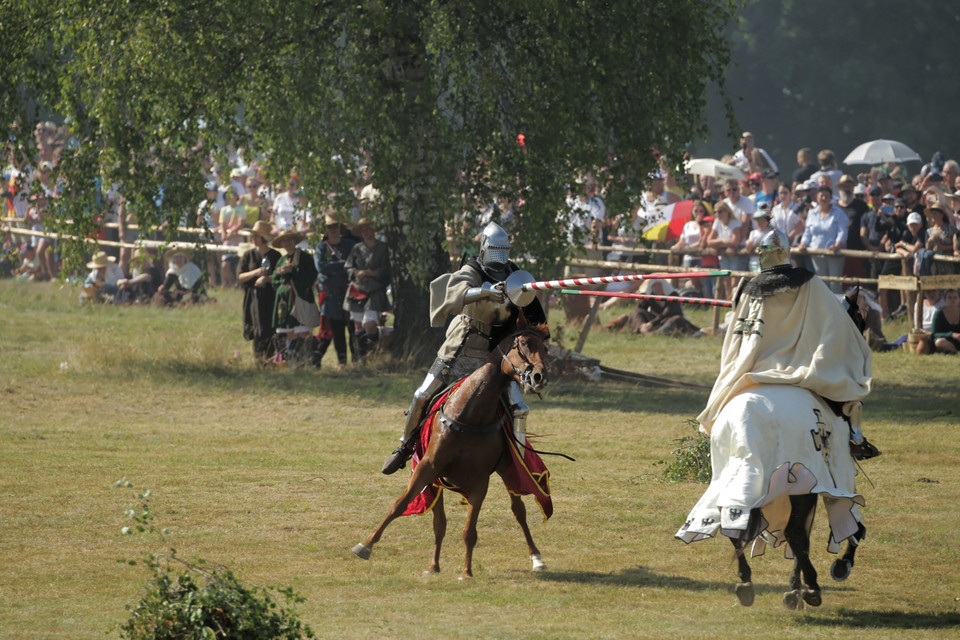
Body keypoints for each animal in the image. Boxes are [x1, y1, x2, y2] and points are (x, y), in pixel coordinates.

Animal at [350, 322, 548, 576]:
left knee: (519, 510)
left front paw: (466, 572)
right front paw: (366, 545)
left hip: (507, 468)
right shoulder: (428, 468)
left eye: (545, 348)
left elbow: (469, 530)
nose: (539, 377)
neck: (470, 412)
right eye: (524, 343)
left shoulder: (479, 481)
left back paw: (536, 557)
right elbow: (403, 506)